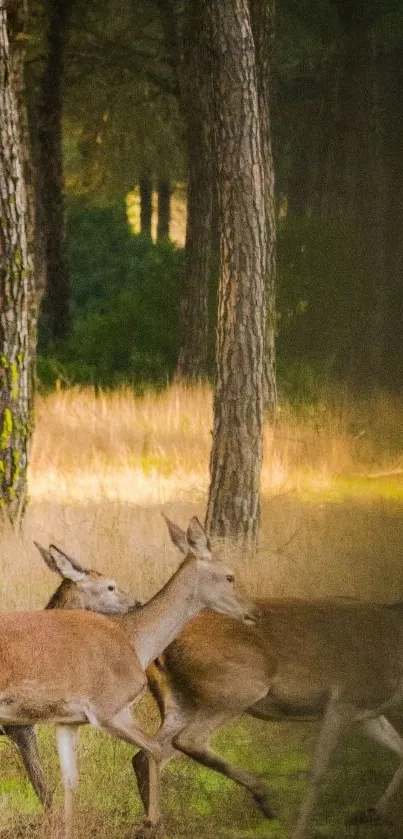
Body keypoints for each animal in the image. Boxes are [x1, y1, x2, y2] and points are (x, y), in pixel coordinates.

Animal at [0, 520, 256, 836]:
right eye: (230, 576)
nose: (253, 612)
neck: (135, 642)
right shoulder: (107, 710)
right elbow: (152, 749)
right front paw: (153, 822)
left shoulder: (68, 720)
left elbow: (69, 780)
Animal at [132, 592, 403, 839]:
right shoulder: (343, 700)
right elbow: (317, 772)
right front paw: (298, 831)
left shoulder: (367, 713)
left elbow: (401, 750)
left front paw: (371, 813)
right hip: (240, 687)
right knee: (187, 740)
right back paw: (265, 796)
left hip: (180, 700)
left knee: (148, 751)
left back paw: (153, 825)